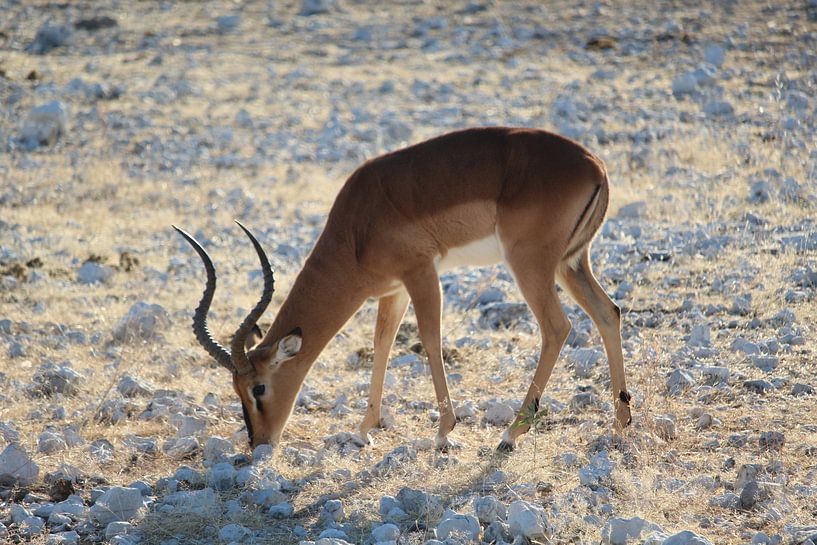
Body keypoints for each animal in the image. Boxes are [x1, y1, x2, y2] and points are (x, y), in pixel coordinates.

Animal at [174, 127, 631, 452]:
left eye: (258, 388)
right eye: (235, 389)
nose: (259, 443)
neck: (357, 226)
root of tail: (595, 165)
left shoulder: (420, 272)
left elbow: (430, 338)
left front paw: (444, 433)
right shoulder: (392, 290)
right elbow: (383, 344)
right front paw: (363, 430)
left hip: (531, 265)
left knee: (557, 327)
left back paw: (509, 435)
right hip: (571, 263)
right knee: (608, 312)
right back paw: (621, 422)